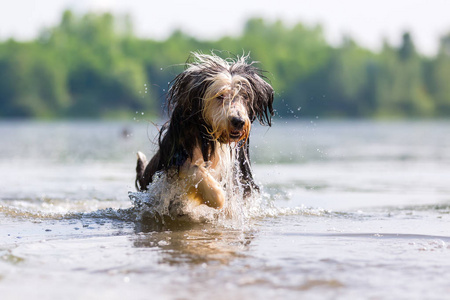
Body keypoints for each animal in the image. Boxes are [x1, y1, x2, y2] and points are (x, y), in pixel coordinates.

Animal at [134, 52, 274, 210]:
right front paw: (214, 197)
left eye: (244, 96)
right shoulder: (176, 159)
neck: (211, 137)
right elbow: (206, 182)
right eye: (220, 95)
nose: (238, 121)